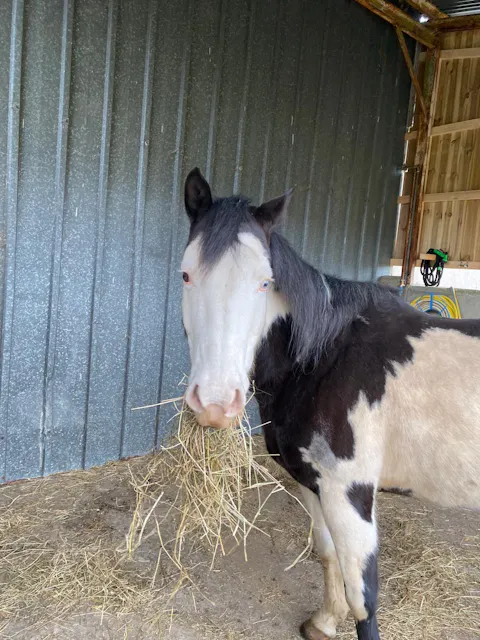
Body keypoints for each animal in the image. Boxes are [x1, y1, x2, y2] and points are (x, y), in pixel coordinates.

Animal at [180, 167, 480, 640]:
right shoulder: (313, 484)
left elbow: (363, 599)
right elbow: (328, 555)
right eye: (186, 275)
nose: (214, 403)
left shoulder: (349, 492)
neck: (324, 357)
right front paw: (324, 621)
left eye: (264, 282)